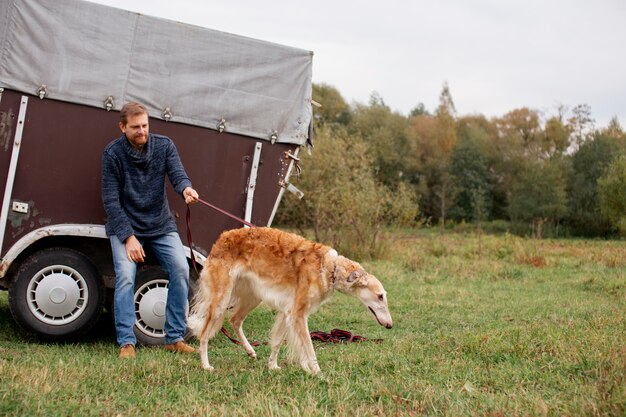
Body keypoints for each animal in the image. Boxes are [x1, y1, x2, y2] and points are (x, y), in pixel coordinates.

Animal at [185, 226, 390, 376]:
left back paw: (250, 350)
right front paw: (317, 372)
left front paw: (272, 366)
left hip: (252, 296)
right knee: (204, 334)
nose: (390, 325)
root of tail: (222, 238)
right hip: (221, 299)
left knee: (235, 320)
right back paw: (206, 365)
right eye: (380, 296)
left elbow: (276, 343)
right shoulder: (298, 314)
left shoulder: (287, 311)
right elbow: (309, 347)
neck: (329, 267)